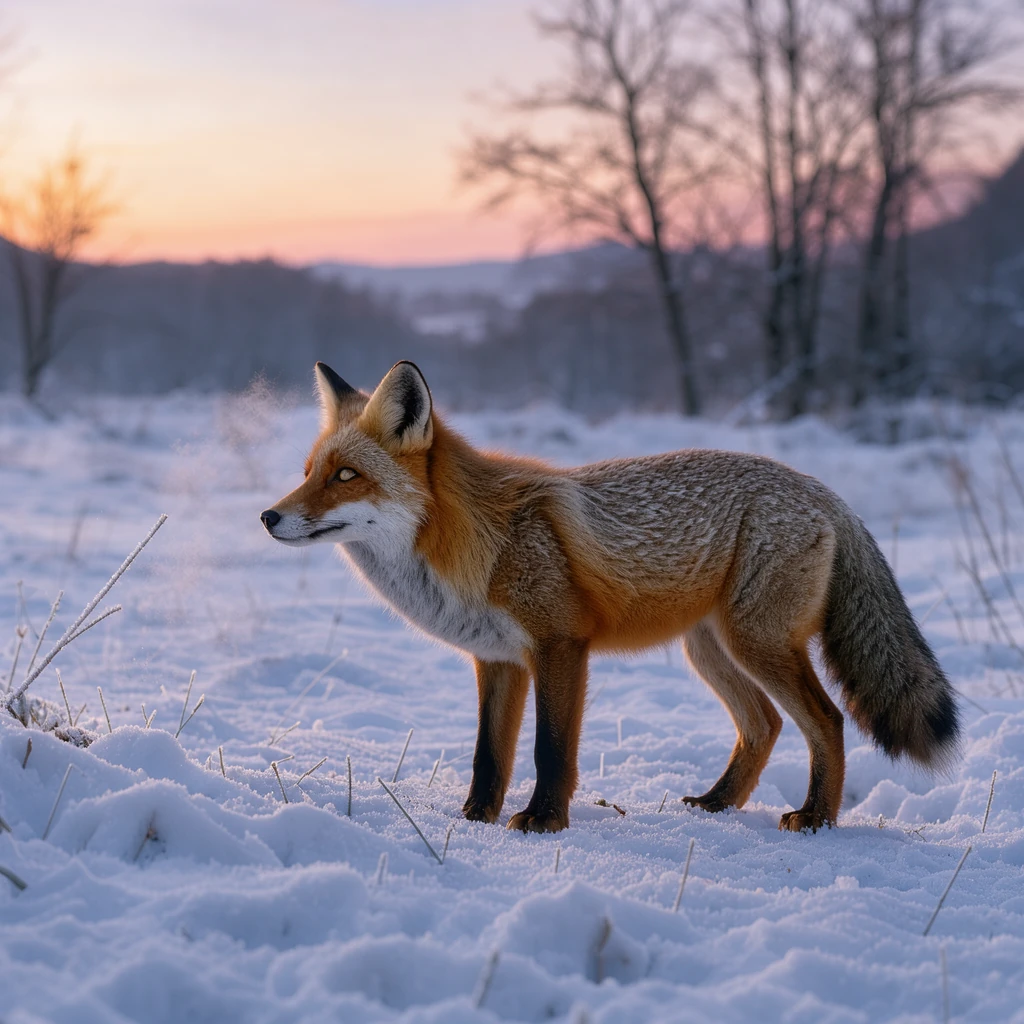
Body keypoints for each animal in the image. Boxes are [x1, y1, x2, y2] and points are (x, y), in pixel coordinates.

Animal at [261, 360, 960, 834]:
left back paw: (815, 817)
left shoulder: (560, 645)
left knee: (826, 721)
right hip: (712, 651)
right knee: (763, 724)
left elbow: (549, 750)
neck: (475, 540)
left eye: (346, 476)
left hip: (755, 644)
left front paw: (543, 822)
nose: (268, 517)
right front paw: (475, 819)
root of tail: (824, 491)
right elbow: (490, 755)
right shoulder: (498, 660)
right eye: (308, 473)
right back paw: (717, 804)